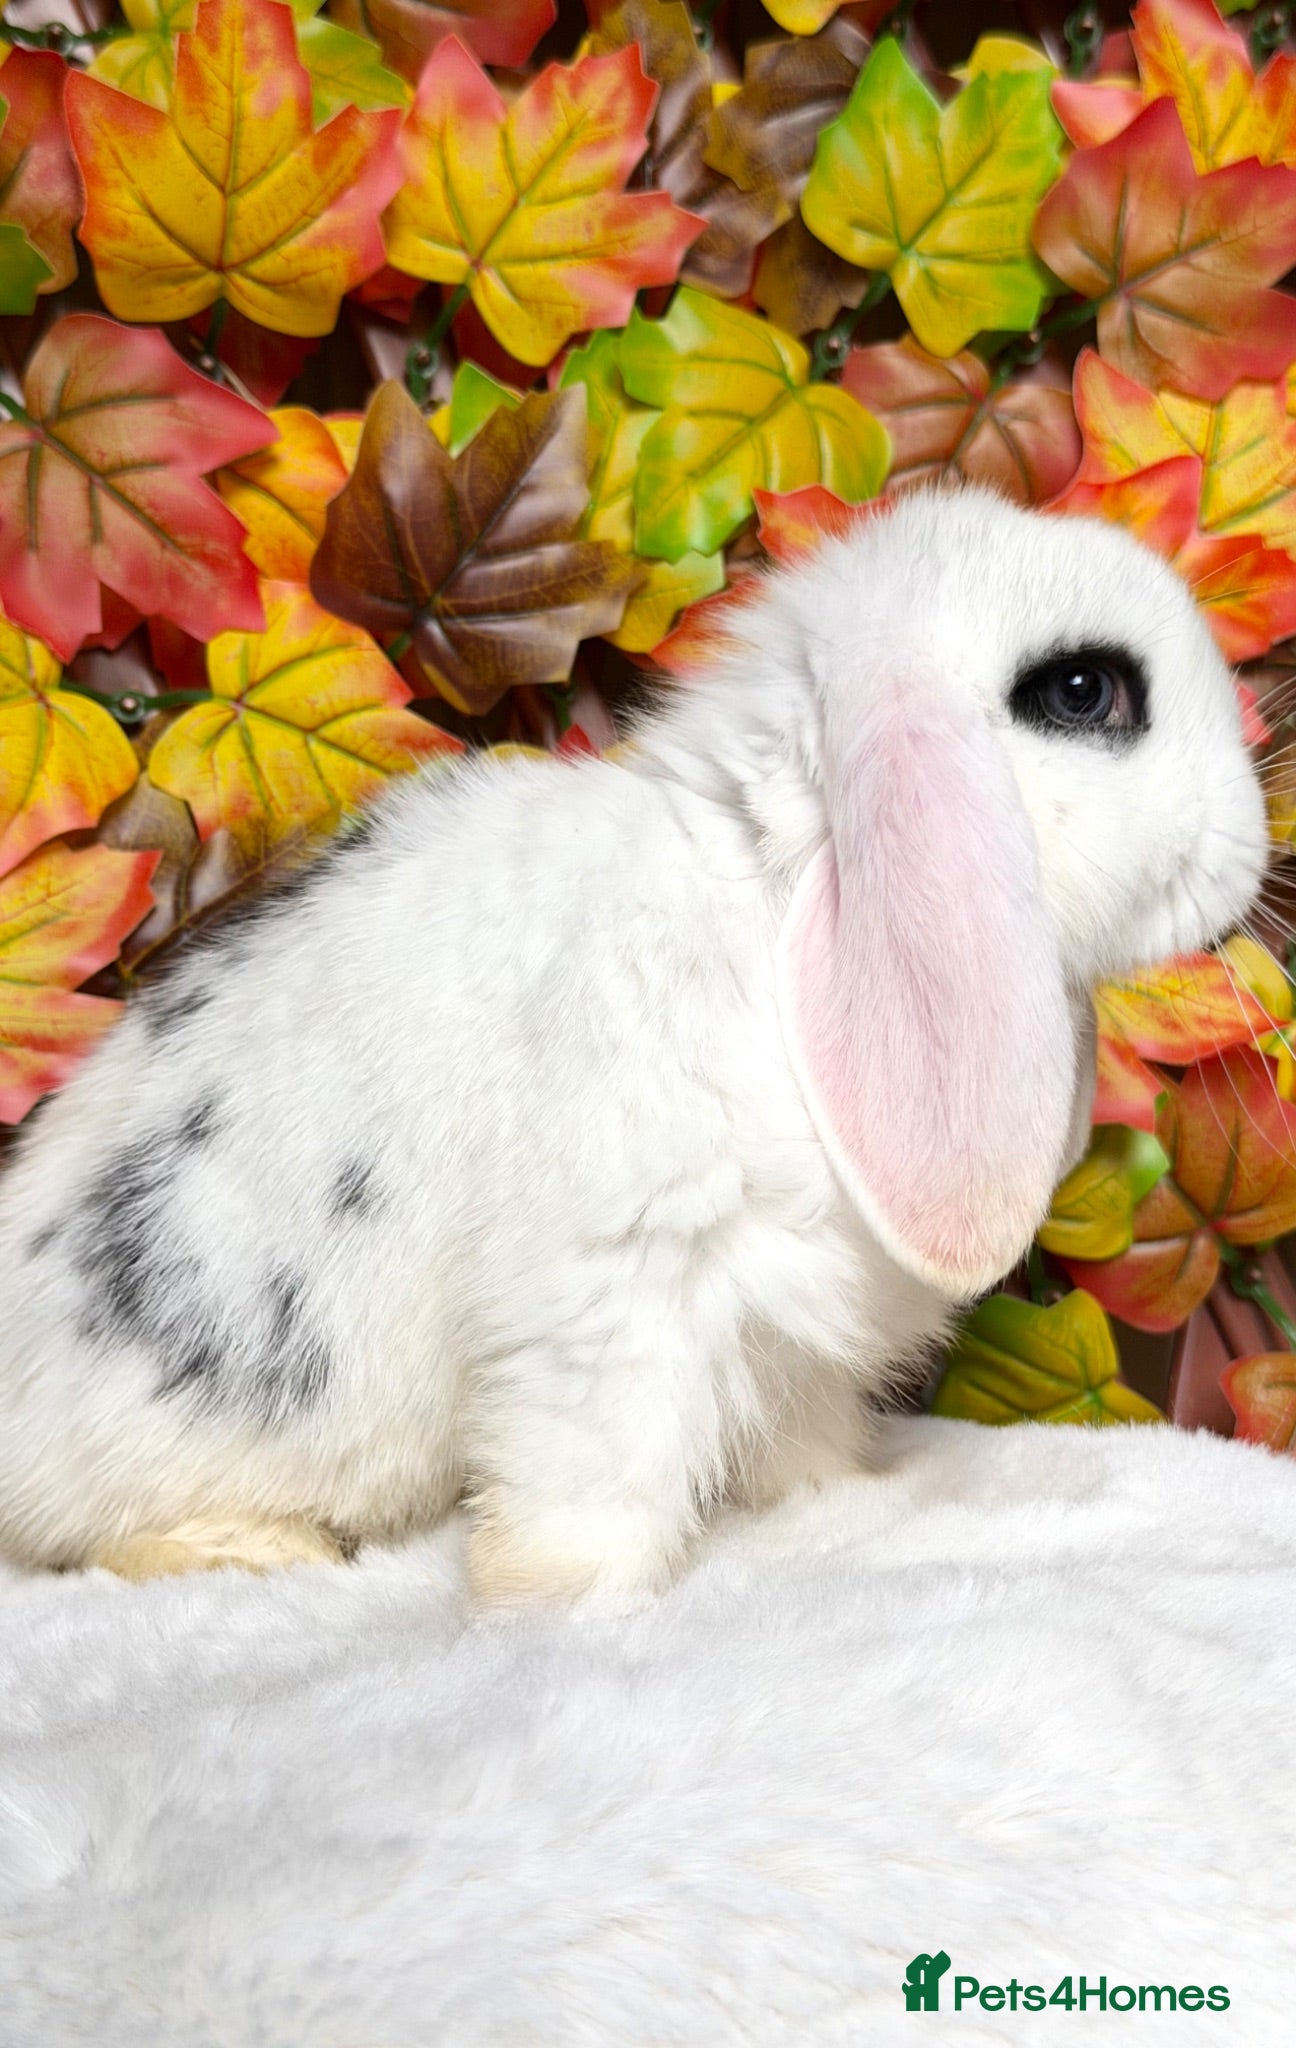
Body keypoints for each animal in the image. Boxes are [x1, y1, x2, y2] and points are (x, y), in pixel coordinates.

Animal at [0, 487, 1270, 1599]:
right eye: (1082, 690)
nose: (1250, 848)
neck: (777, 905)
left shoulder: (793, 1334)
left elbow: (799, 1445)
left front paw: (833, 1508)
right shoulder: (612, 1291)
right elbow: (586, 1490)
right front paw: (568, 1610)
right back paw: (253, 1549)